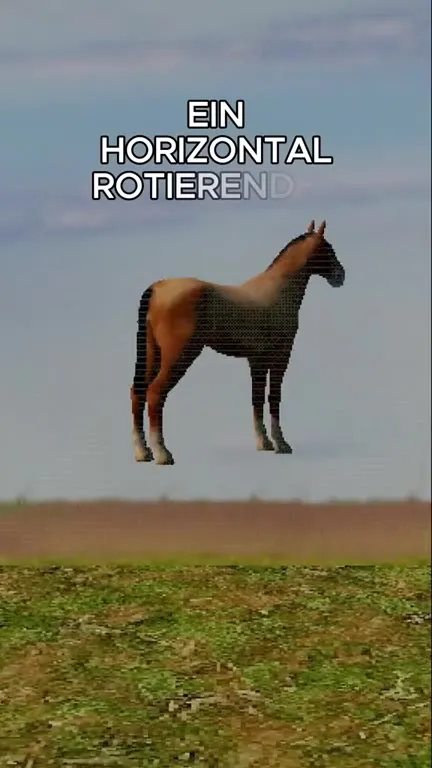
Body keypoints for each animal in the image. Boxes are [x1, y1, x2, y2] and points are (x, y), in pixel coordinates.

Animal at [130, 219, 345, 465]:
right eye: (326, 248)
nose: (341, 275)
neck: (279, 290)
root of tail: (156, 289)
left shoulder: (257, 359)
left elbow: (257, 398)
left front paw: (264, 443)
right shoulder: (281, 355)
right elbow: (274, 397)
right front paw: (281, 444)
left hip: (152, 354)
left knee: (138, 392)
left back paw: (143, 452)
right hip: (179, 356)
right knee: (155, 393)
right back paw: (162, 453)